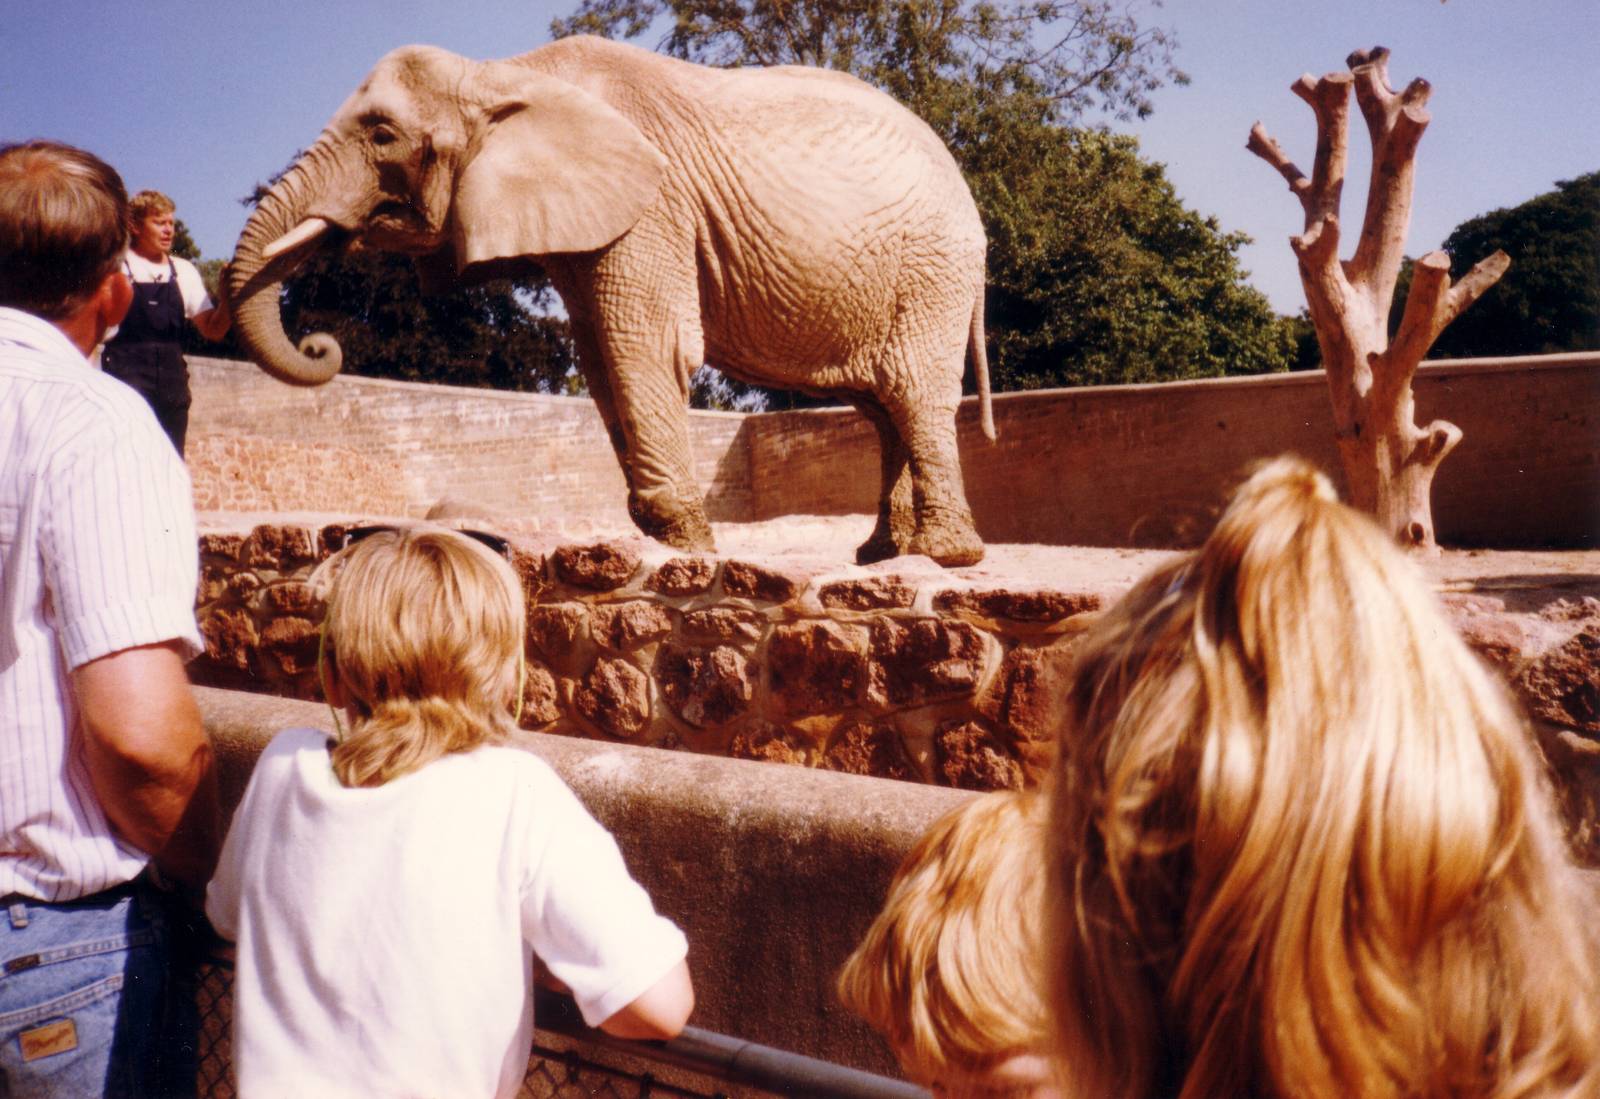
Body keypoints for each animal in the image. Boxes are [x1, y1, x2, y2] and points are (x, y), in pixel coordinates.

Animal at [226, 35, 996, 566]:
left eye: (382, 134)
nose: (323, 342)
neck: (506, 71)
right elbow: (599, 358)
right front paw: (670, 538)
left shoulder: (650, 208)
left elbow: (644, 346)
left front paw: (688, 549)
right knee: (882, 406)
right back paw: (882, 556)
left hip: (932, 268)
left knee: (912, 389)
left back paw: (946, 557)